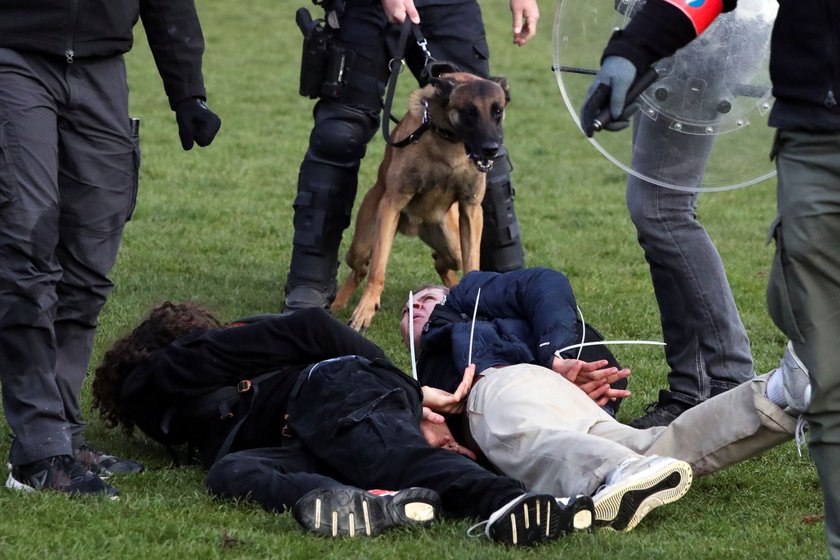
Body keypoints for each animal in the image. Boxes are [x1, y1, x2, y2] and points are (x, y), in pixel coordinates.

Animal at [332, 70, 508, 332]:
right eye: (469, 111)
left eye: (497, 110)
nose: (491, 149)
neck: (448, 139)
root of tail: (415, 227)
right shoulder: (392, 204)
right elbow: (377, 269)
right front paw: (365, 310)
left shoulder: (471, 209)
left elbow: (473, 265)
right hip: (362, 244)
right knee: (360, 268)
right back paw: (338, 303)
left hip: (453, 245)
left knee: (441, 261)